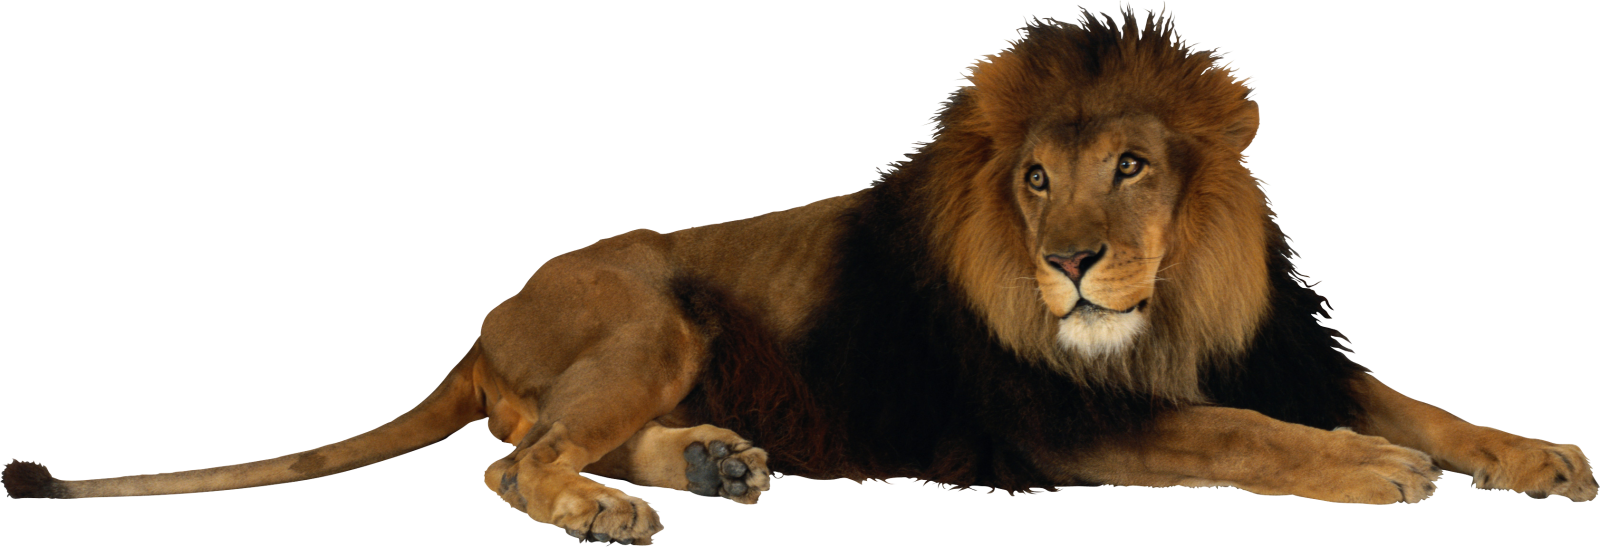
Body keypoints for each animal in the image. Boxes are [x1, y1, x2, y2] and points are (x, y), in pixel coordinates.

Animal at [6, 5, 1594, 544]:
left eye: (1133, 166)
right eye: (1035, 179)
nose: (1070, 262)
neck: (1168, 307)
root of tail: (483, 315)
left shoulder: (1282, 350)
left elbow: (1422, 403)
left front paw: (1539, 452)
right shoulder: (1068, 417)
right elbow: (1257, 437)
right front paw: (1375, 473)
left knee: (541, 438)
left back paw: (714, 462)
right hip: (647, 309)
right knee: (515, 460)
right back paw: (617, 509)